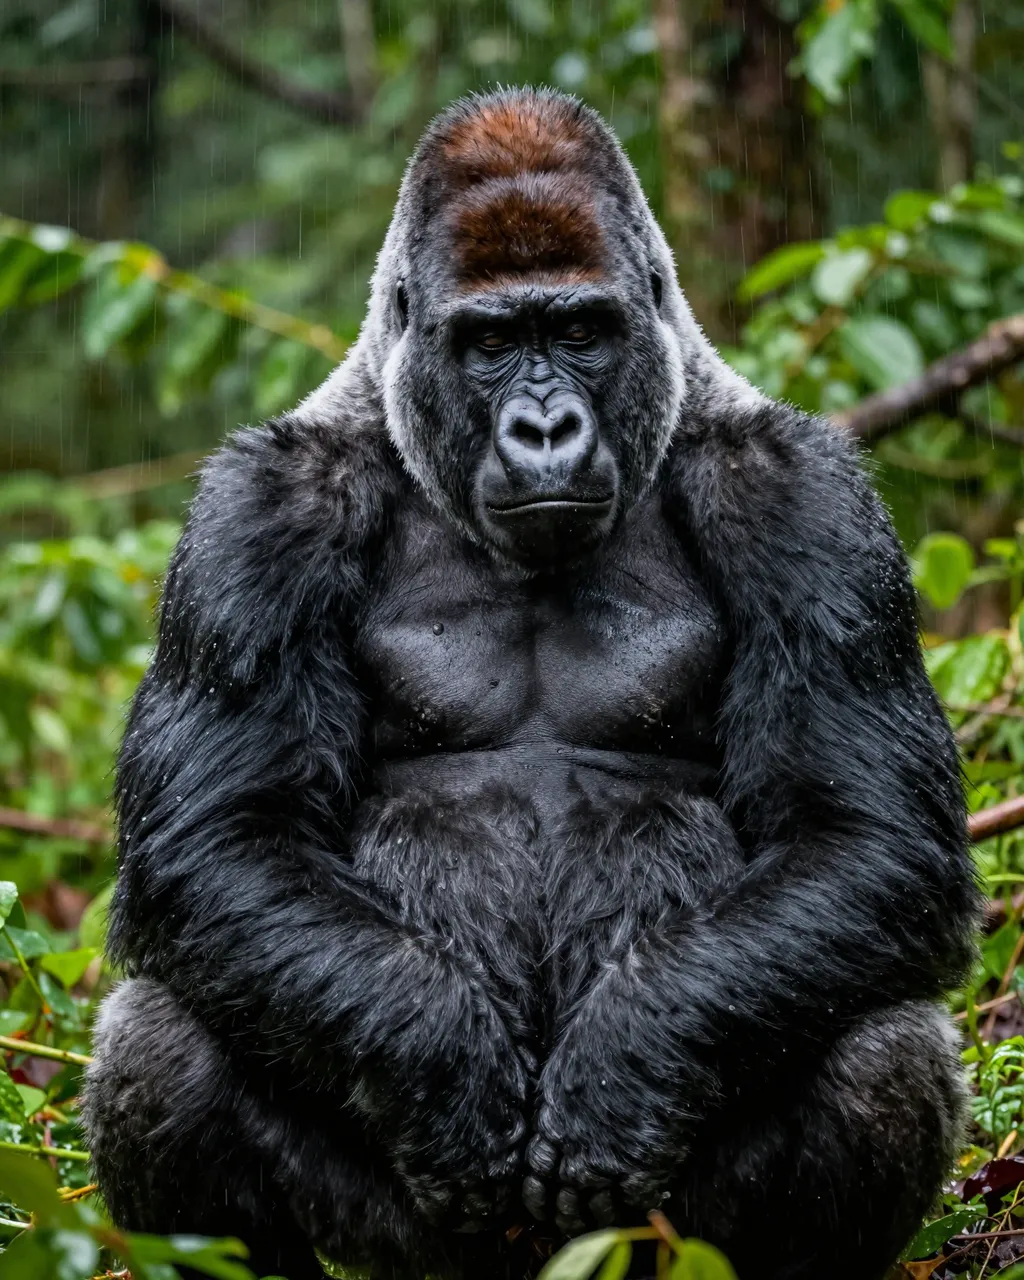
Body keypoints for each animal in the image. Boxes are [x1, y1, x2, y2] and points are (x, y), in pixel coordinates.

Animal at [83, 87, 977, 1280]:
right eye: (495, 342)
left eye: (580, 333)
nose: (544, 426)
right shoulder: (259, 510)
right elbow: (225, 835)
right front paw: (442, 1073)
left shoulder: (805, 497)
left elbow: (861, 836)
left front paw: (627, 1070)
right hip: (419, 1248)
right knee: (158, 1042)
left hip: (643, 1240)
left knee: (886, 1047)